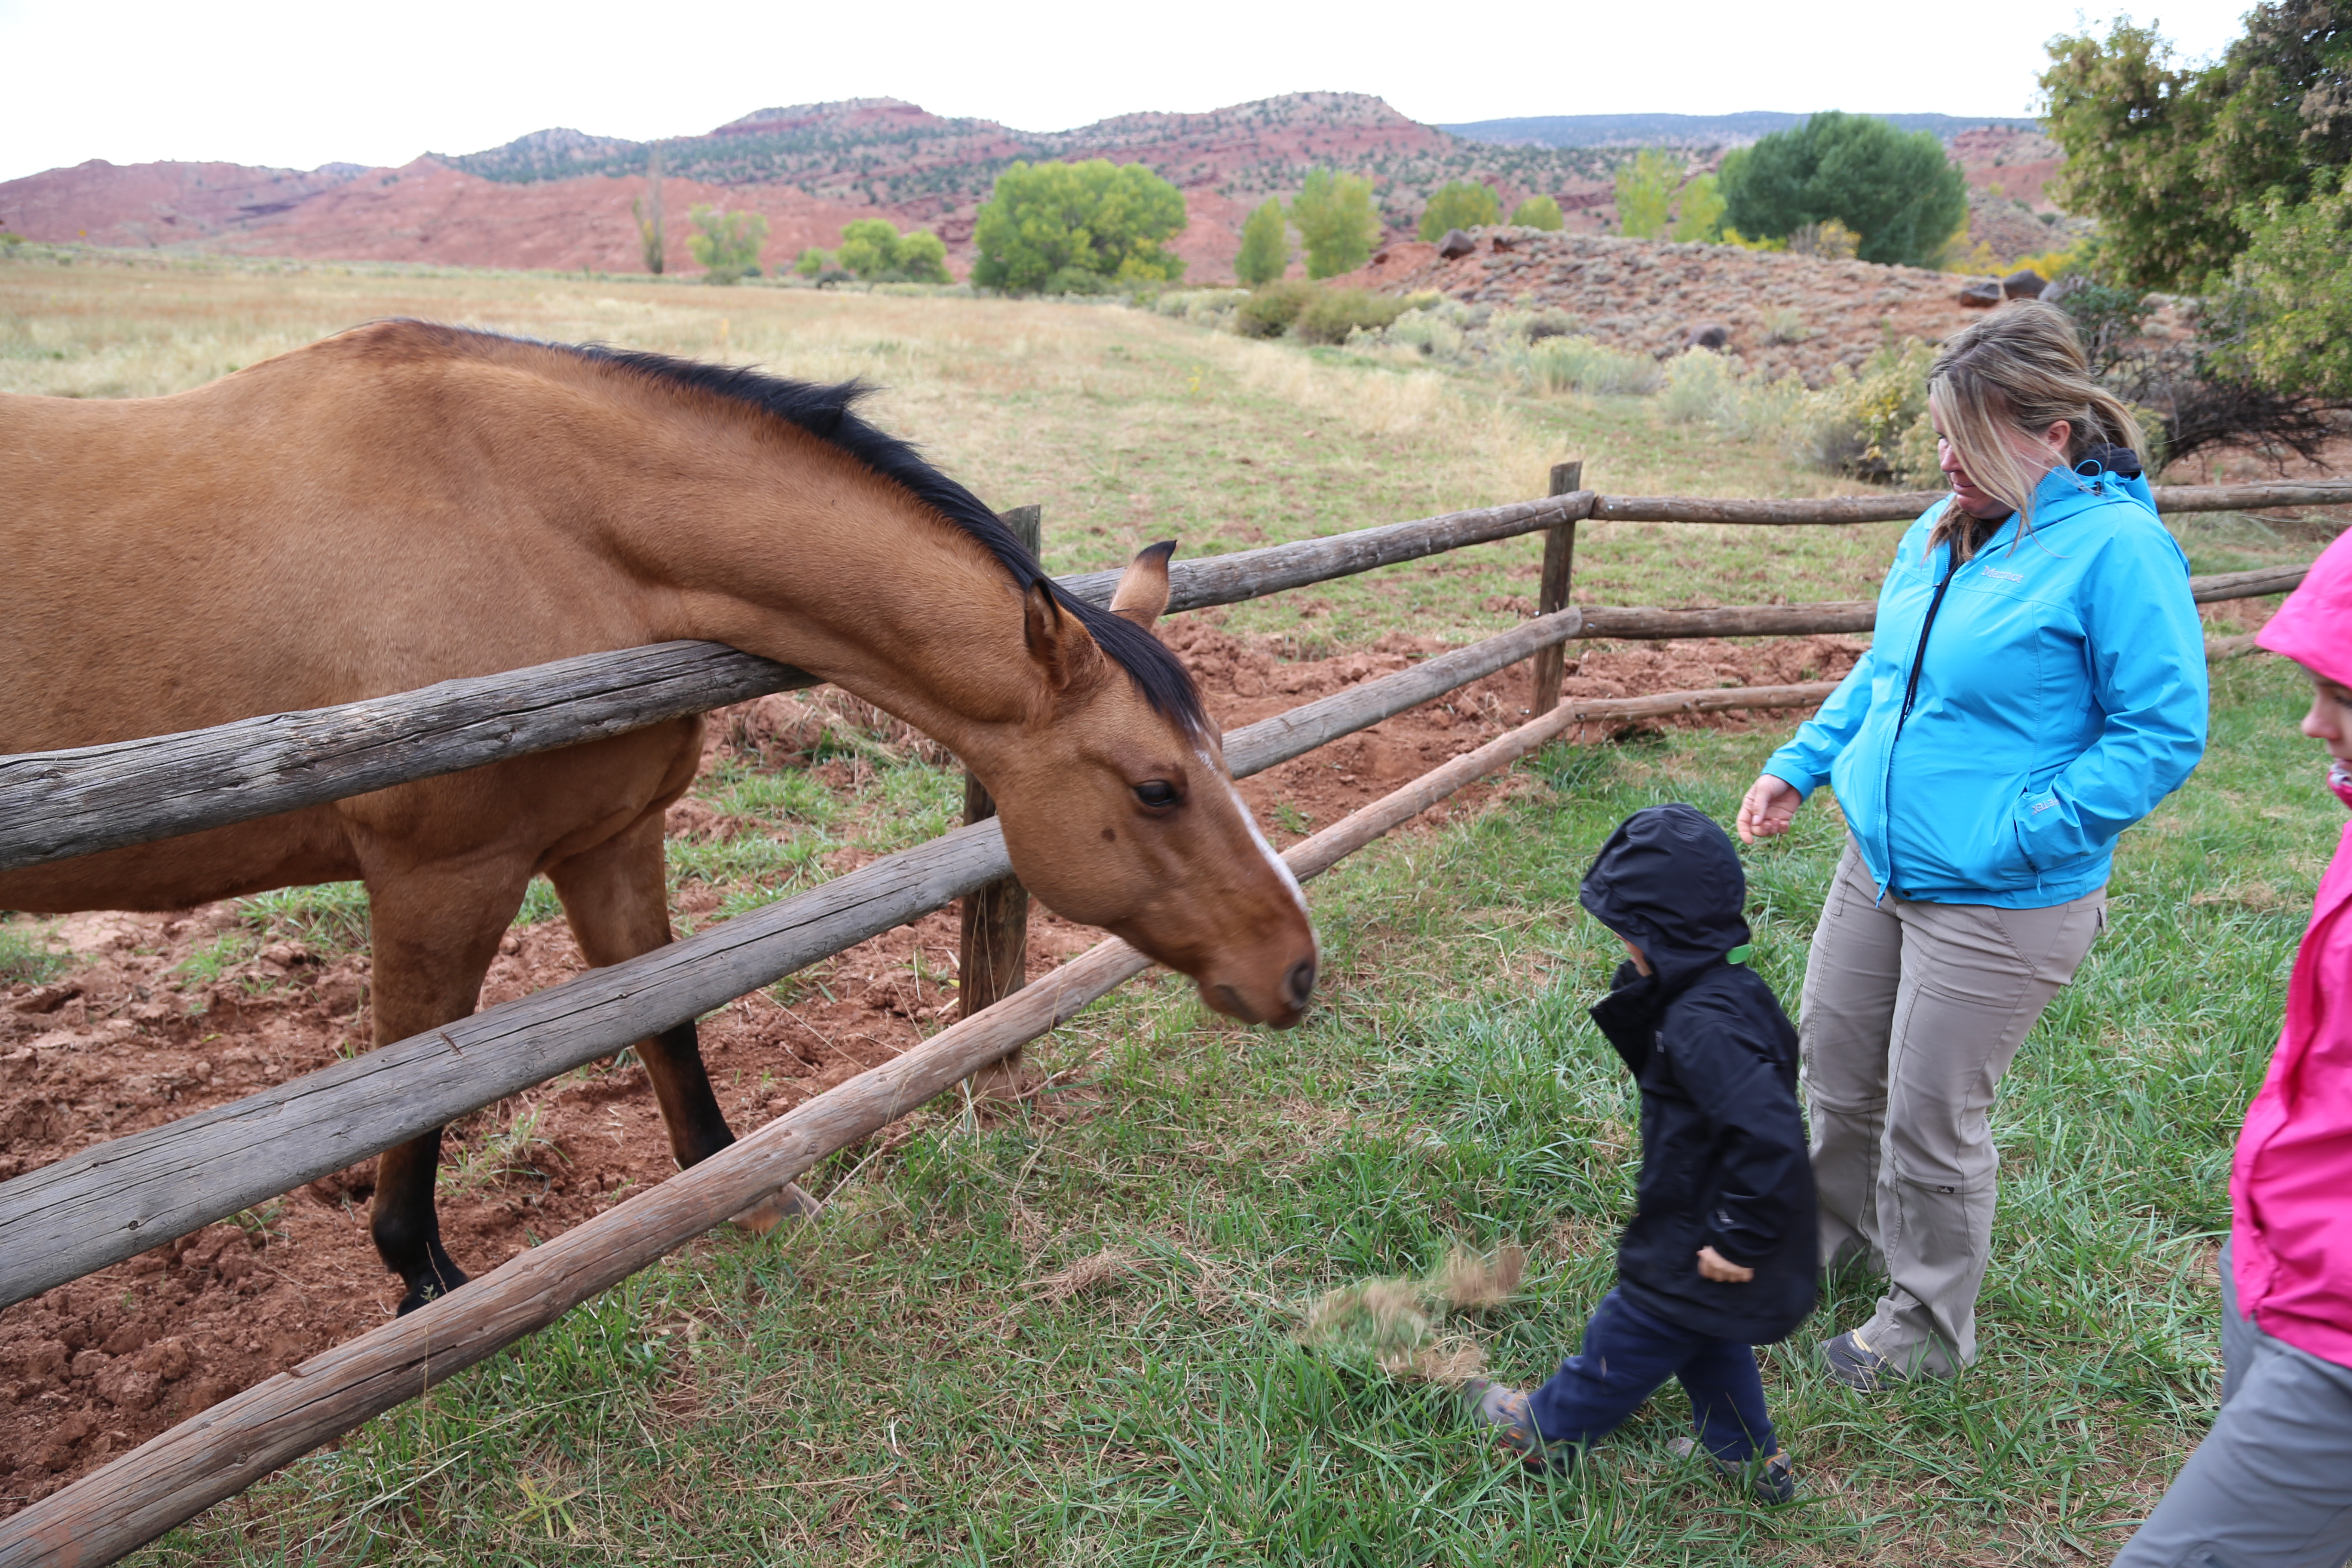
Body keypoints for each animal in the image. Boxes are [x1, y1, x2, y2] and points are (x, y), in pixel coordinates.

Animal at [0, 324, 1326, 1316]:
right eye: (1156, 787)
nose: (1300, 970)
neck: (535, 516)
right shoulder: (442, 878)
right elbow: (414, 1090)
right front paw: (426, 1290)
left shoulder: (612, 842)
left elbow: (667, 1022)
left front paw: (750, 1199)